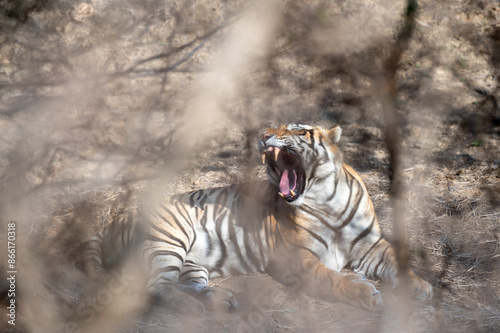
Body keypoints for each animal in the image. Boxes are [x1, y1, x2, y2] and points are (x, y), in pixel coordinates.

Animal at [80, 122, 432, 312]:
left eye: (297, 129)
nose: (263, 135)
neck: (327, 198)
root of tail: (116, 219)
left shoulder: (371, 247)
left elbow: (397, 261)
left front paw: (422, 287)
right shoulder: (297, 259)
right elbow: (329, 279)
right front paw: (363, 292)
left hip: (191, 264)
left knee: (187, 283)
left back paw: (221, 299)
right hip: (168, 242)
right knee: (156, 287)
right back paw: (191, 307)